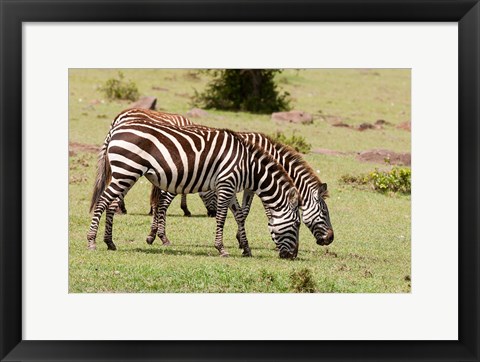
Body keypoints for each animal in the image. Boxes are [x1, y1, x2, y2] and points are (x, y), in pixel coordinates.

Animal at [87, 120, 300, 258]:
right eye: (297, 224)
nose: (293, 255)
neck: (248, 166)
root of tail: (115, 130)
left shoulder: (230, 186)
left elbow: (239, 215)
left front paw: (246, 248)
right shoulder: (226, 184)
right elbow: (222, 217)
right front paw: (221, 248)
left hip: (125, 173)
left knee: (111, 203)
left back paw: (110, 242)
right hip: (126, 170)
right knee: (103, 201)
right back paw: (92, 241)